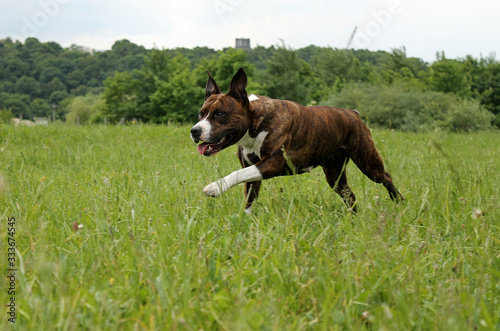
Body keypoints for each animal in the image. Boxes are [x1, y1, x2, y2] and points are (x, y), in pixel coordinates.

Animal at [189, 68, 404, 214]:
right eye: (201, 113)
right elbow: (249, 195)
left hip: (367, 162)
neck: (256, 121)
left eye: (219, 113)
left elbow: (238, 174)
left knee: (385, 176)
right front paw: (245, 222)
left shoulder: (271, 164)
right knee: (348, 194)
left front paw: (215, 187)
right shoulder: (253, 170)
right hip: (335, 174)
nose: (195, 130)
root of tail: (353, 113)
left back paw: (399, 202)